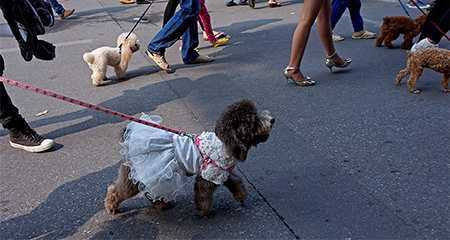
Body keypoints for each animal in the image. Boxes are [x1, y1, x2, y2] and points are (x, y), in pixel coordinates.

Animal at [105, 98, 274, 217]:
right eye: (253, 121)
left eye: (256, 113)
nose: (272, 119)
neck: (223, 143)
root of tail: (127, 136)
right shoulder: (207, 177)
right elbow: (202, 196)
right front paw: (204, 212)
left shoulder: (222, 172)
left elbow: (237, 183)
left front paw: (241, 196)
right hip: (136, 175)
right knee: (118, 190)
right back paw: (111, 206)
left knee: (149, 192)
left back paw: (161, 205)